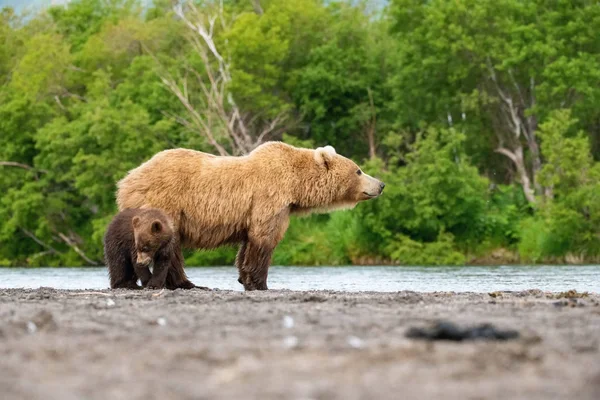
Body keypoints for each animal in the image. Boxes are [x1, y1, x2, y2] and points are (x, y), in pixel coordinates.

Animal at [117, 142, 384, 290]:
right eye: (359, 170)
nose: (381, 184)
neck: (295, 186)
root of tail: (126, 180)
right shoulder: (270, 198)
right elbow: (264, 238)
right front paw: (260, 283)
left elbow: (248, 244)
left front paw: (244, 278)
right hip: (165, 203)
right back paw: (187, 282)